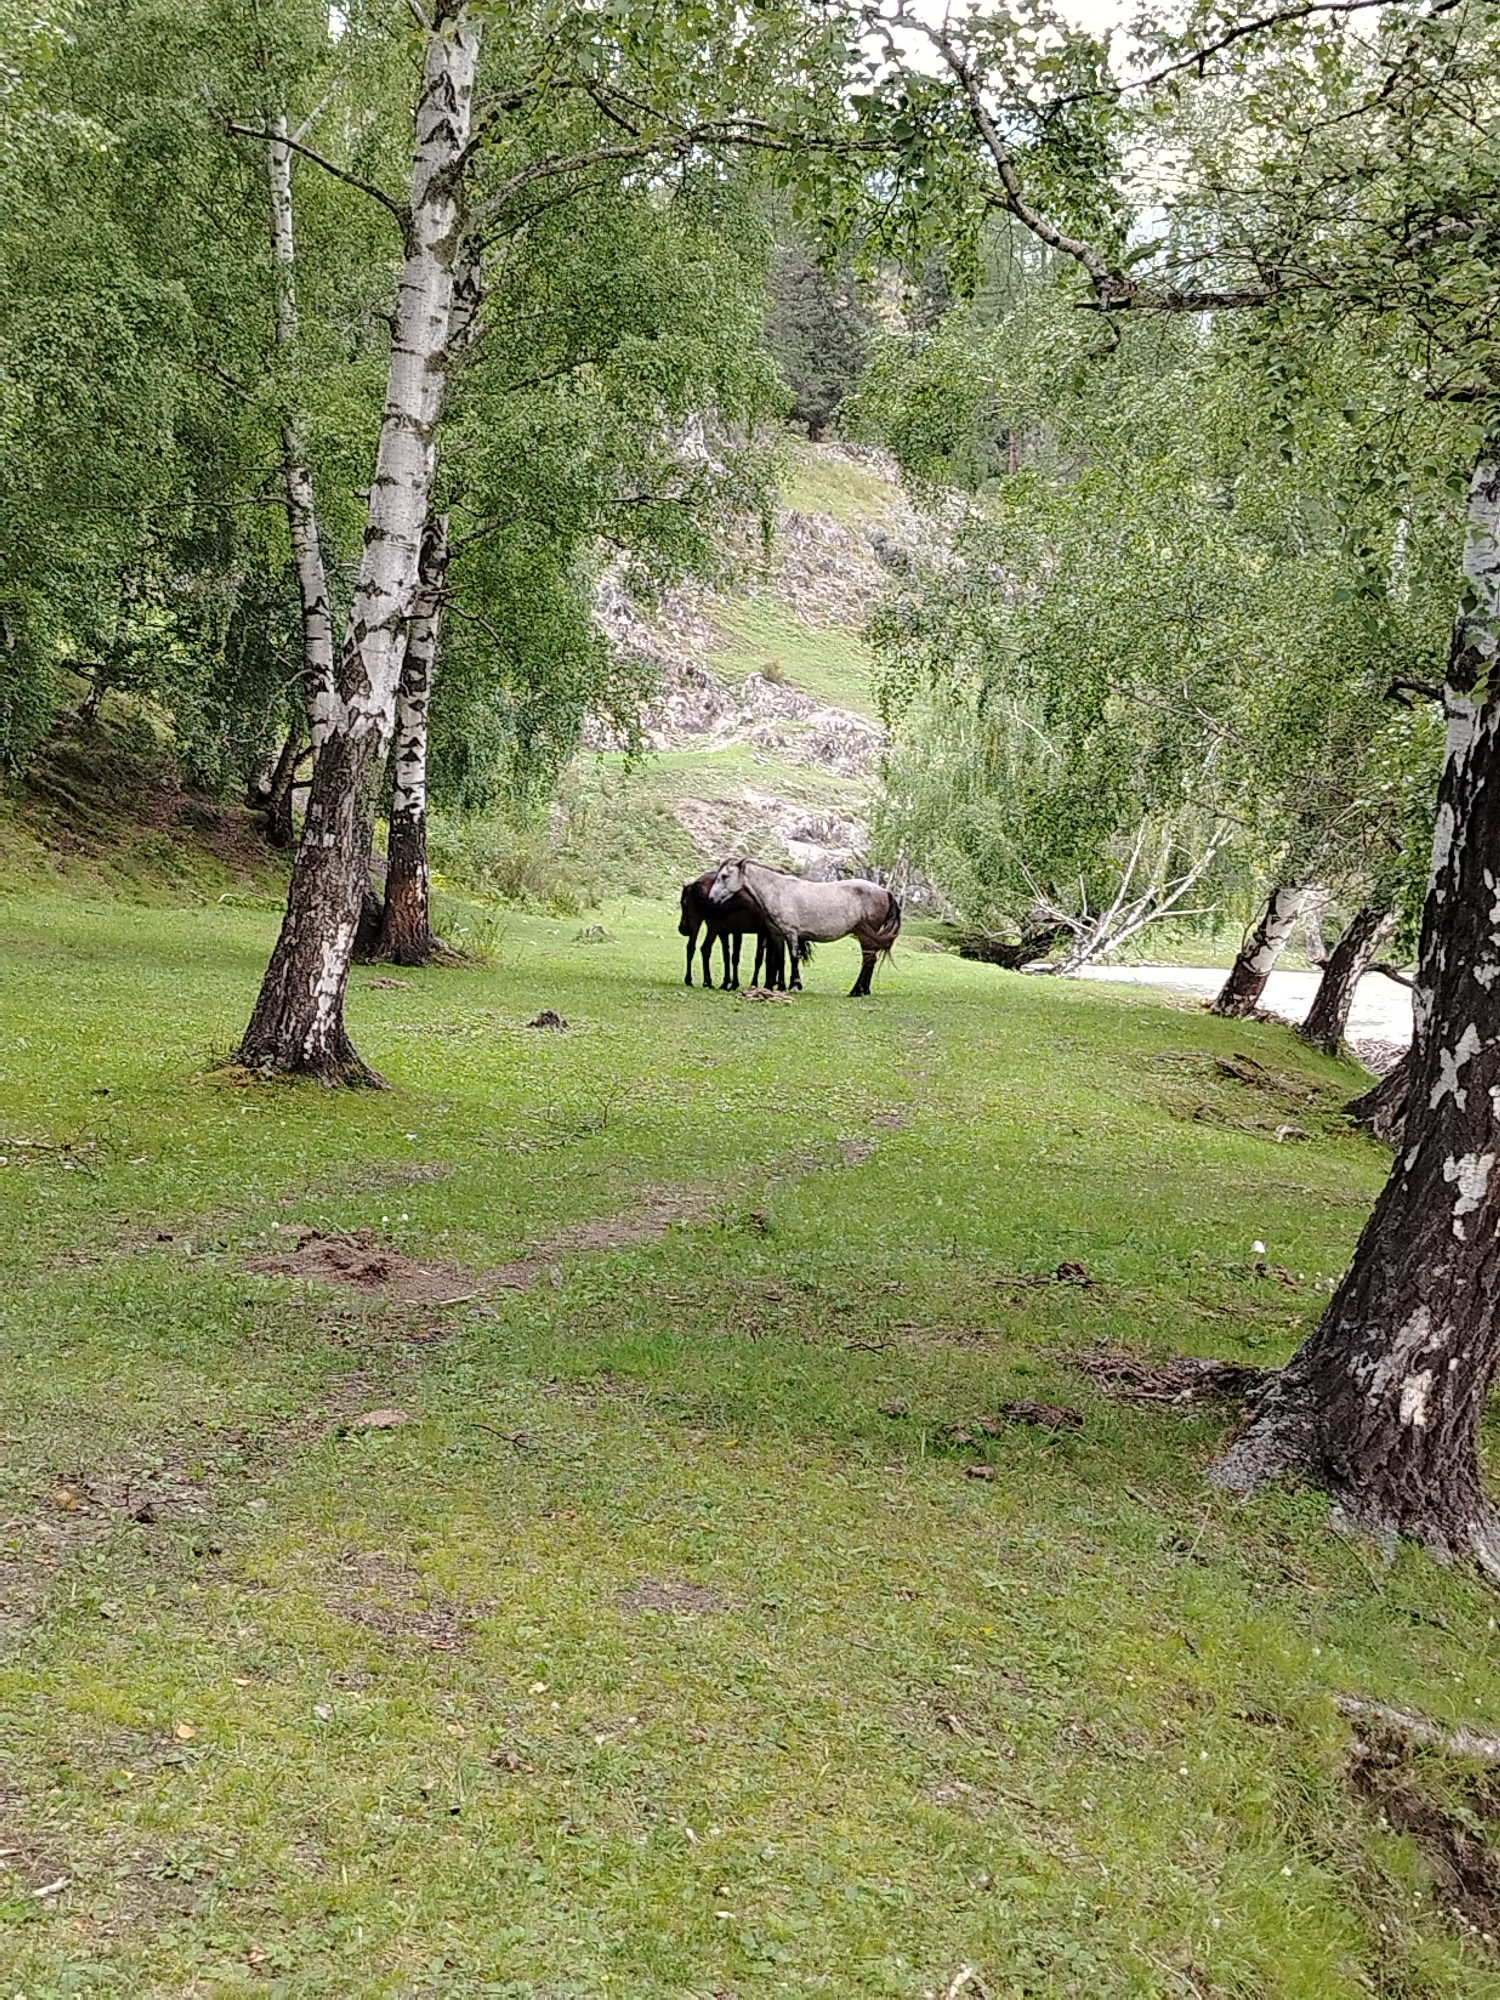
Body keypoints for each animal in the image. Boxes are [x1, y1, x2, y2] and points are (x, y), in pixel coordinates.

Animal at [707, 857, 901, 997]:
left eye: (724, 876)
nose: (711, 898)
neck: (778, 891)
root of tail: (886, 892)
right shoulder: (777, 934)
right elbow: (780, 959)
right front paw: (779, 986)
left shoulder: (791, 933)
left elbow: (794, 957)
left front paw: (795, 985)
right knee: (870, 959)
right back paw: (862, 990)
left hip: (866, 936)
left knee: (868, 959)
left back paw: (857, 991)